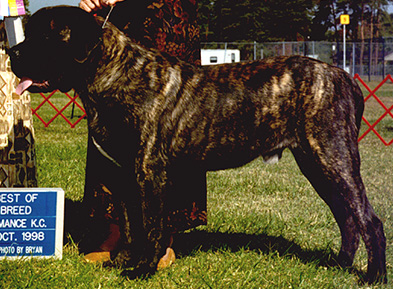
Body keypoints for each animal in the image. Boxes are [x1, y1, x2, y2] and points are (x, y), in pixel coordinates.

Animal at [9, 5, 386, 282]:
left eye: (45, 35)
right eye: (28, 32)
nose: (11, 52)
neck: (114, 74)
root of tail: (344, 76)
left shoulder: (149, 171)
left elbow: (151, 225)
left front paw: (143, 269)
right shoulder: (123, 174)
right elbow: (130, 225)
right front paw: (123, 261)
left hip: (334, 158)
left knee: (369, 221)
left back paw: (374, 277)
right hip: (316, 164)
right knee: (347, 219)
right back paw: (339, 266)